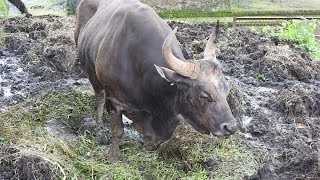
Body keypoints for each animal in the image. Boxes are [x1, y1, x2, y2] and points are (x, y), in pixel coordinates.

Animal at [75, 0, 238, 163]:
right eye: (204, 96)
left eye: (227, 90)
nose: (231, 127)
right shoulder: (115, 101)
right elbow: (118, 131)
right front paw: (113, 159)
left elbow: (149, 137)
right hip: (91, 74)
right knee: (99, 97)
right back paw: (98, 124)